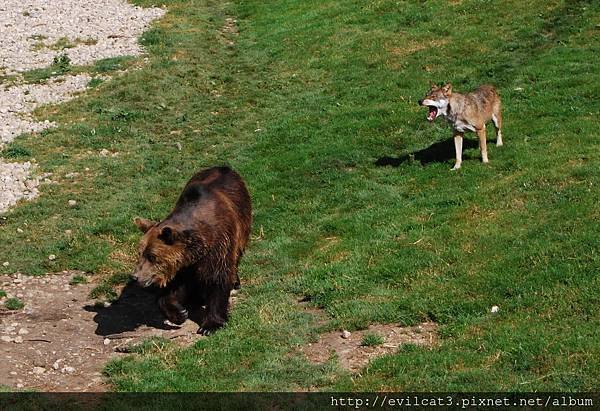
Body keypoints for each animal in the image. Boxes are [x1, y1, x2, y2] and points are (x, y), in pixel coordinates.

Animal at [132, 166, 252, 336]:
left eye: (152, 256)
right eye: (140, 253)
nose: (135, 276)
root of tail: (225, 167)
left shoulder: (219, 244)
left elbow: (218, 278)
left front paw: (210, 325)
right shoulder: (183, 261)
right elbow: (177, 286)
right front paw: (179, 313)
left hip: (243, 220)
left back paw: (235, 281)